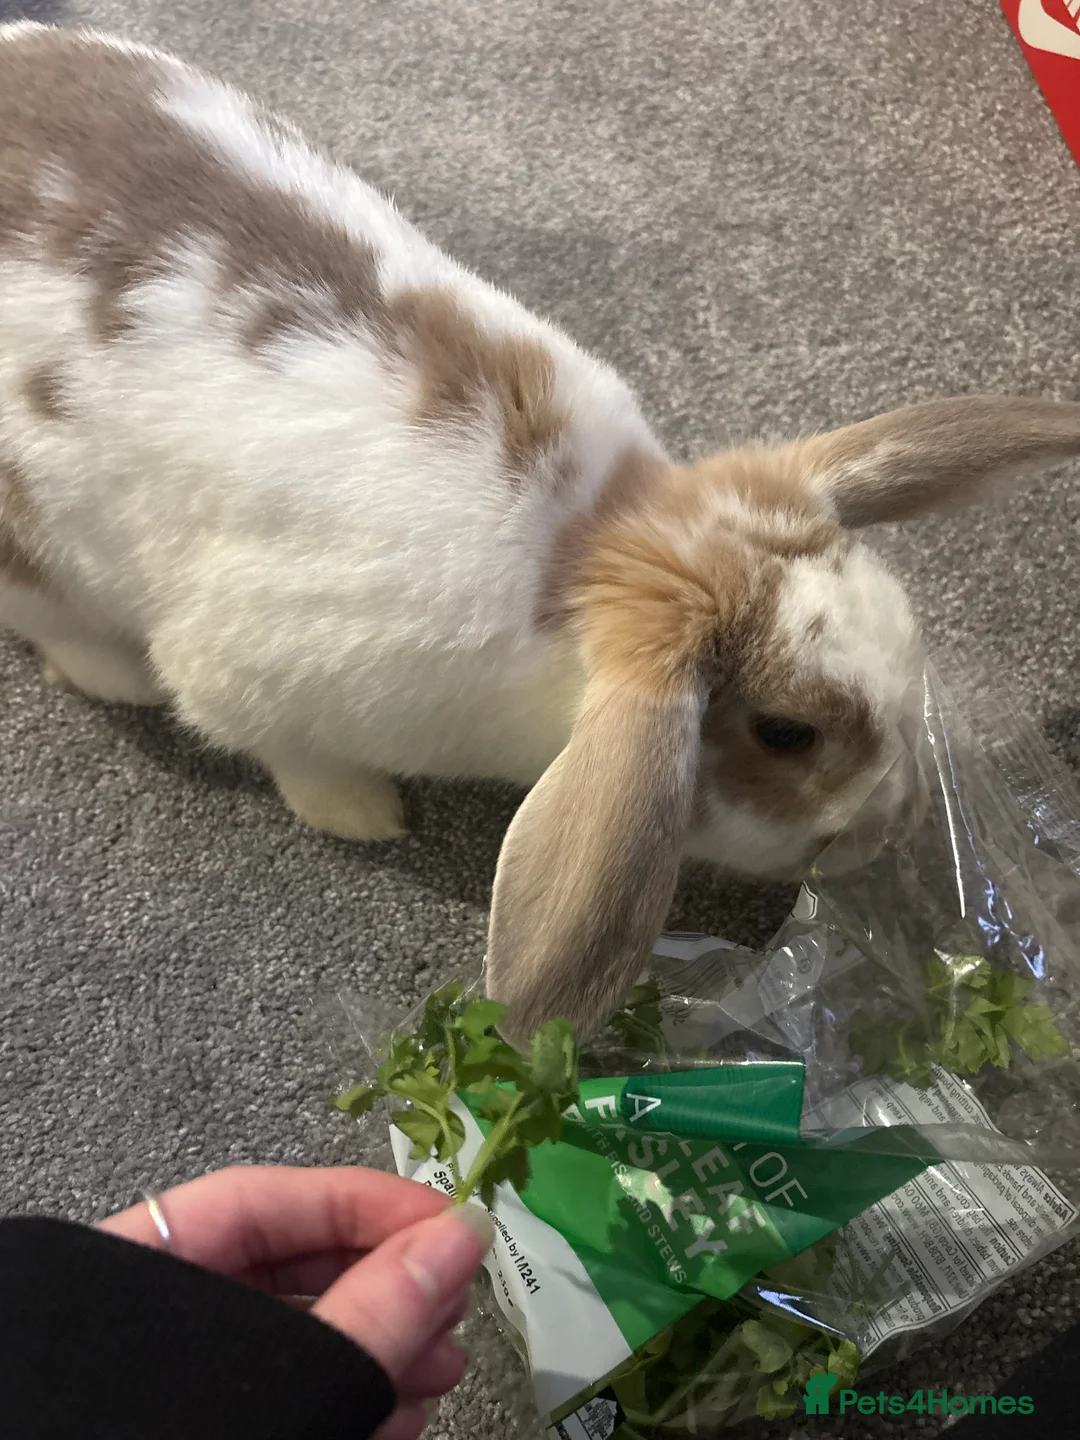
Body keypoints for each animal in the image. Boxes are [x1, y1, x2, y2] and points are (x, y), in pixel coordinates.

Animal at [3, 24, 1080, 1042]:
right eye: (786, 733)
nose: (896, 828)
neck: (587, 553)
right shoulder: (247, 676)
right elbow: (282, 747)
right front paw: (366, 818)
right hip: (39, 558)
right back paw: (119, 677)